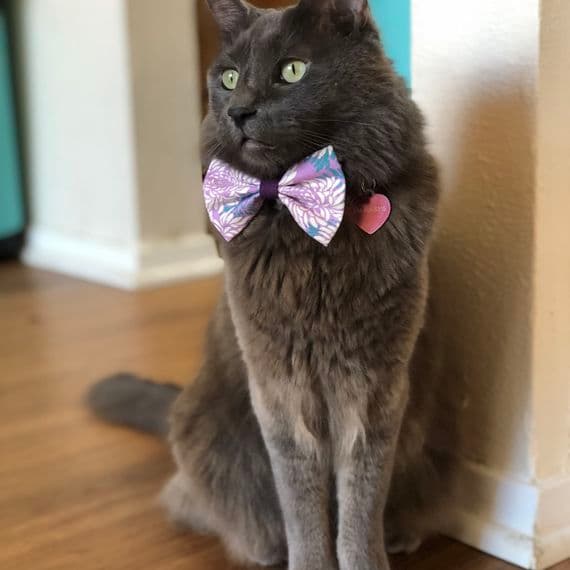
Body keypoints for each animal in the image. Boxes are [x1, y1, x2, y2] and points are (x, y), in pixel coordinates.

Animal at [87, 1, 450, 569]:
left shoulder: (376, 388)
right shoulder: (278, 389)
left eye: (292, 71)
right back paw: (260, 547)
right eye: (229, 78)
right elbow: (302, 507)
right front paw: (311, 561)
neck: (304, 231)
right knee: (194, 501)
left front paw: (364, 557)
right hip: (209, 441)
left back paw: (401, 534)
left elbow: (361, 506)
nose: (238, 111)